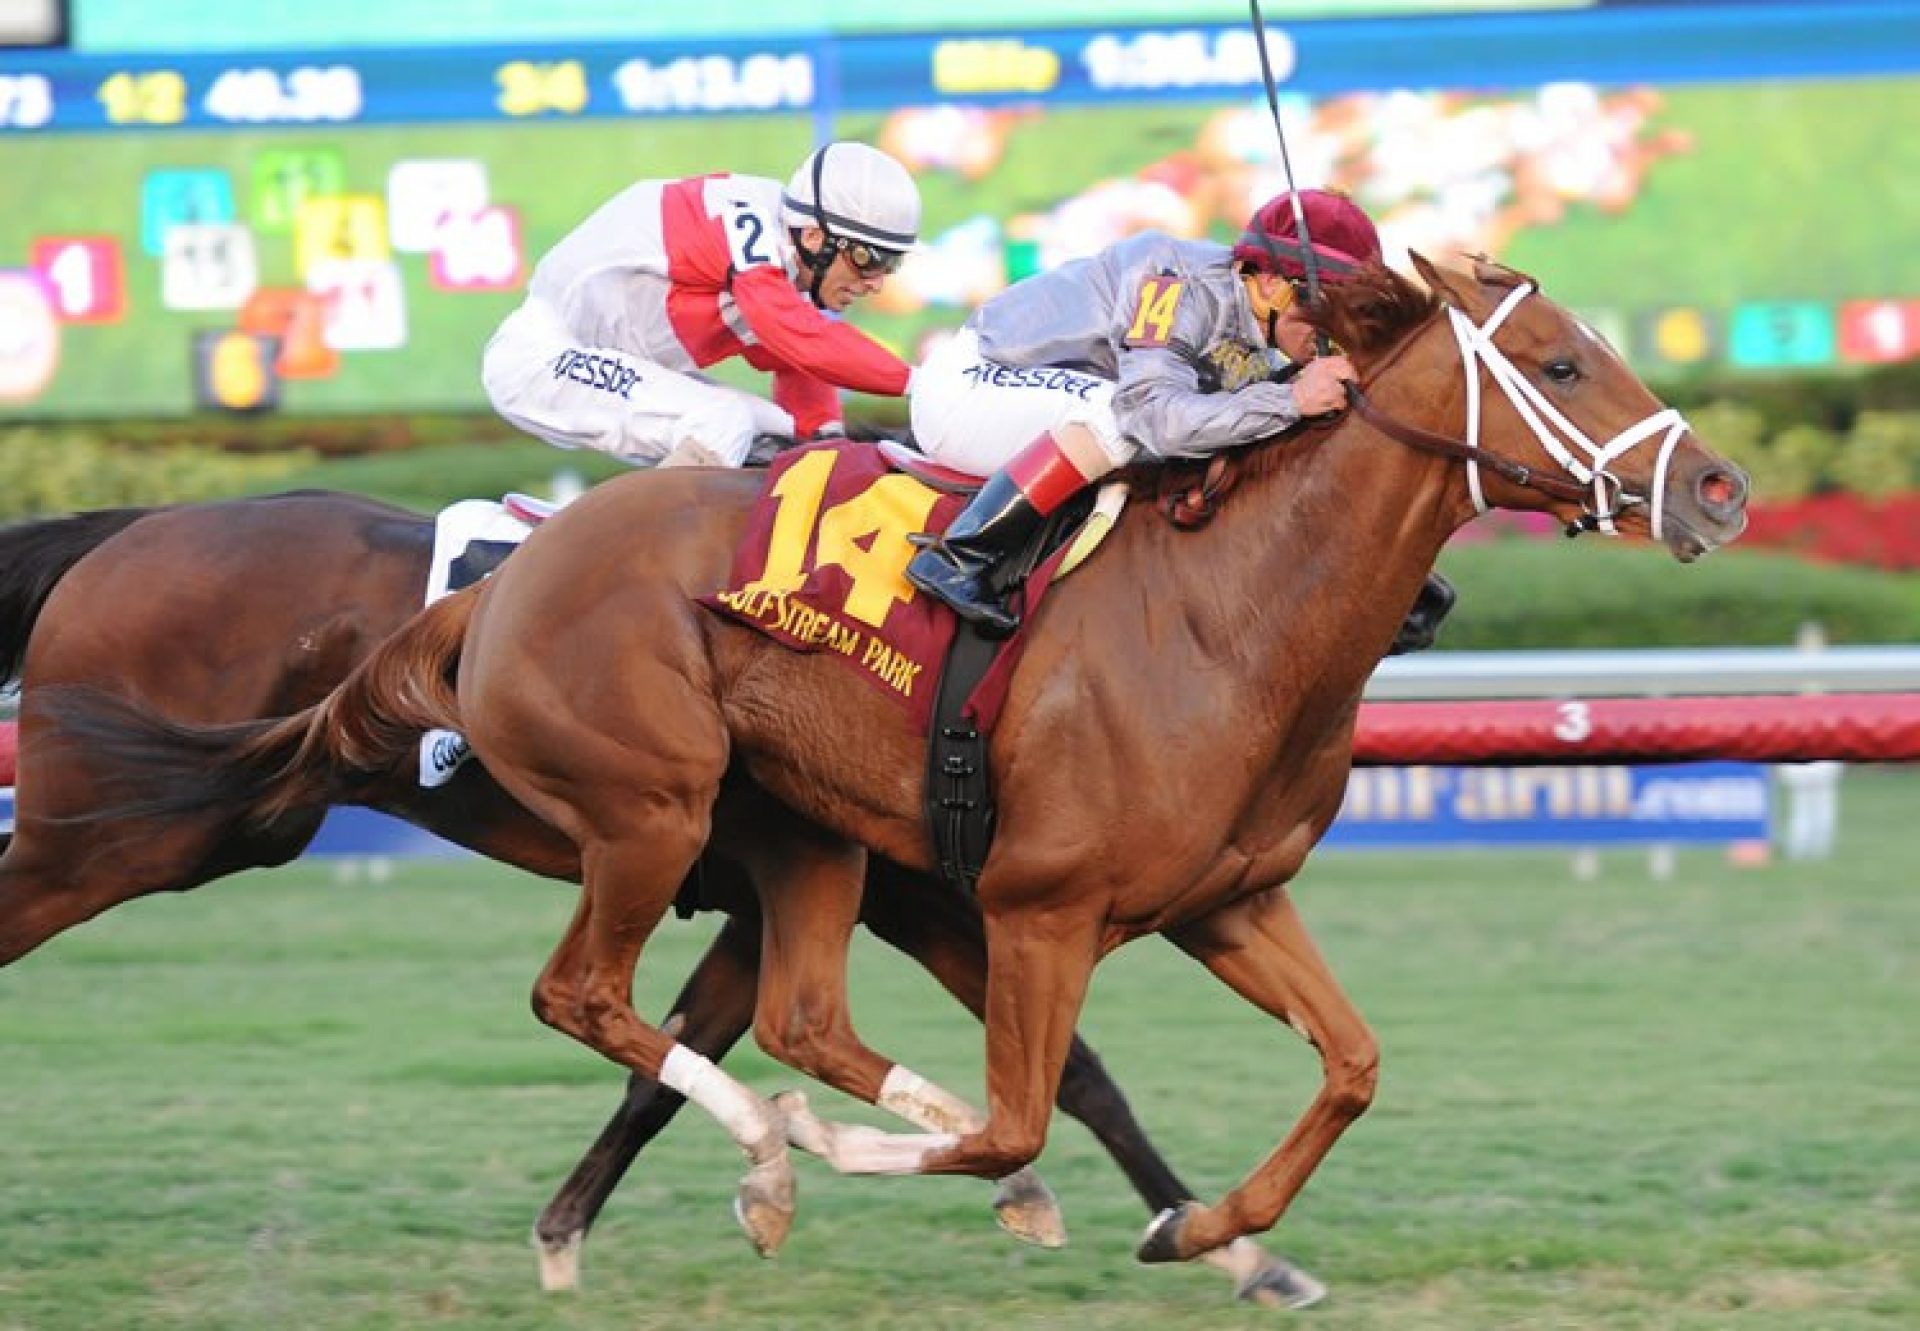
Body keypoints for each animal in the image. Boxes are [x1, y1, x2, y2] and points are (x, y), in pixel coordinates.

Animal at [0, 491, 1320, 1306]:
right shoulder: (923, 899)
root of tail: (124, 535)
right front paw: (1228, 1247)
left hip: (226, 821)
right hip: (121, 832)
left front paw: (574, 1235)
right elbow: (1077, 1073)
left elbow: (669, 1070)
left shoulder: (768, 894)